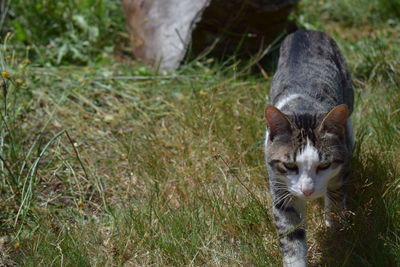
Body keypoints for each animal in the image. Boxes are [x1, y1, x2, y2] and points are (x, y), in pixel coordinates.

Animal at [264, 29, 354, 267]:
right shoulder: (279, 185)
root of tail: (305, 31)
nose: (307, 191)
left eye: (323, 165)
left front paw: (334, 225)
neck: (303, 107)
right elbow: (291, 236)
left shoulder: (342, 165)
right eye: (289, 166)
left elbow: (336, 196)